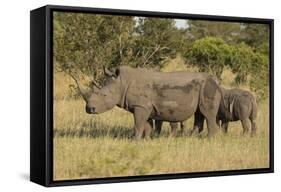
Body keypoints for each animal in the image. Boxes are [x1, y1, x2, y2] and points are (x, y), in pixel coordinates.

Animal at [74, 66, 223, 140]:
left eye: (104, 95)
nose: (89, 109)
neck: (122, 83)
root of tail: (216, 81)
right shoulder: (144, 107)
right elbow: (146, 125)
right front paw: (146, 140)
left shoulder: (141, 106)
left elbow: (138, 124)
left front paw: (135, 141)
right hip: (204, 88)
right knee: (199, 113)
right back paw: (191, 139)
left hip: (208, 87)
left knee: (207, 114)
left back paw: (210, 140)